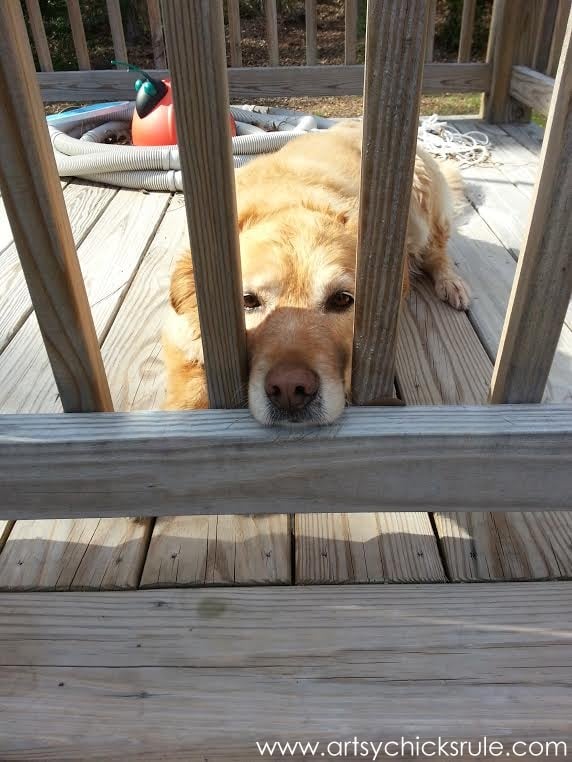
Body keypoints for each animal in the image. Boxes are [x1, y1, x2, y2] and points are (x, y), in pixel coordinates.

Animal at [162, 121, 470, 424]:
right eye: (248, 301)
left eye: (342, 299)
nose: (289, 388)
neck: (289, 202)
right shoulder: (179, 335)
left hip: (420, 210)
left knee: (437, 249)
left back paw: (451, 283)